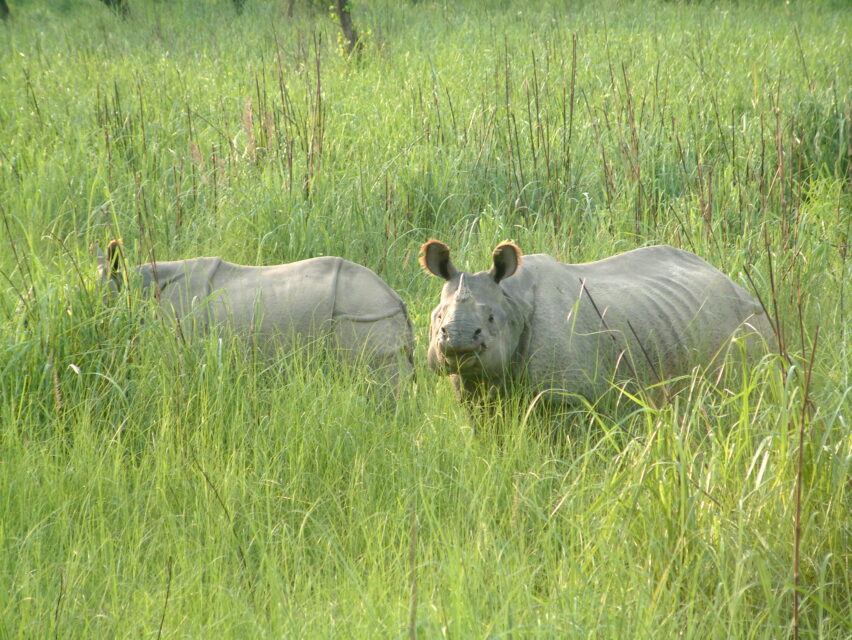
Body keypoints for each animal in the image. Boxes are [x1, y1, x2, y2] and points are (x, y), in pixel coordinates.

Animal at [420, 240, 774, 403]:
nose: (459, 340)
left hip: (747, 320)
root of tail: (730, 280)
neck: (512, 299)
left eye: (492, 319)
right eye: (437, 317)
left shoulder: (567, 393)